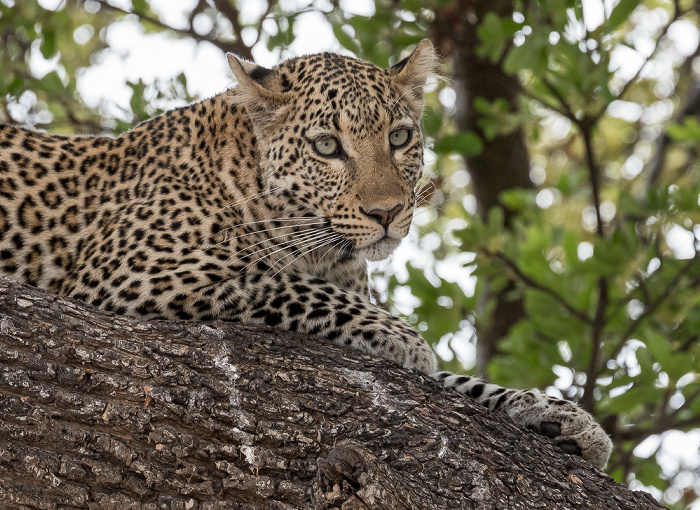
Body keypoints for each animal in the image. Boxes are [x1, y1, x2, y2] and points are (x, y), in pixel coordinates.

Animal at [0, 38, 612, 470]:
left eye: (398, 137)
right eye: (326, 147)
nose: (388, 212)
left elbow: (460, 383)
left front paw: (557, 416)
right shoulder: (139, 268)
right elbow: (281, 282)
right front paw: (407, 341)